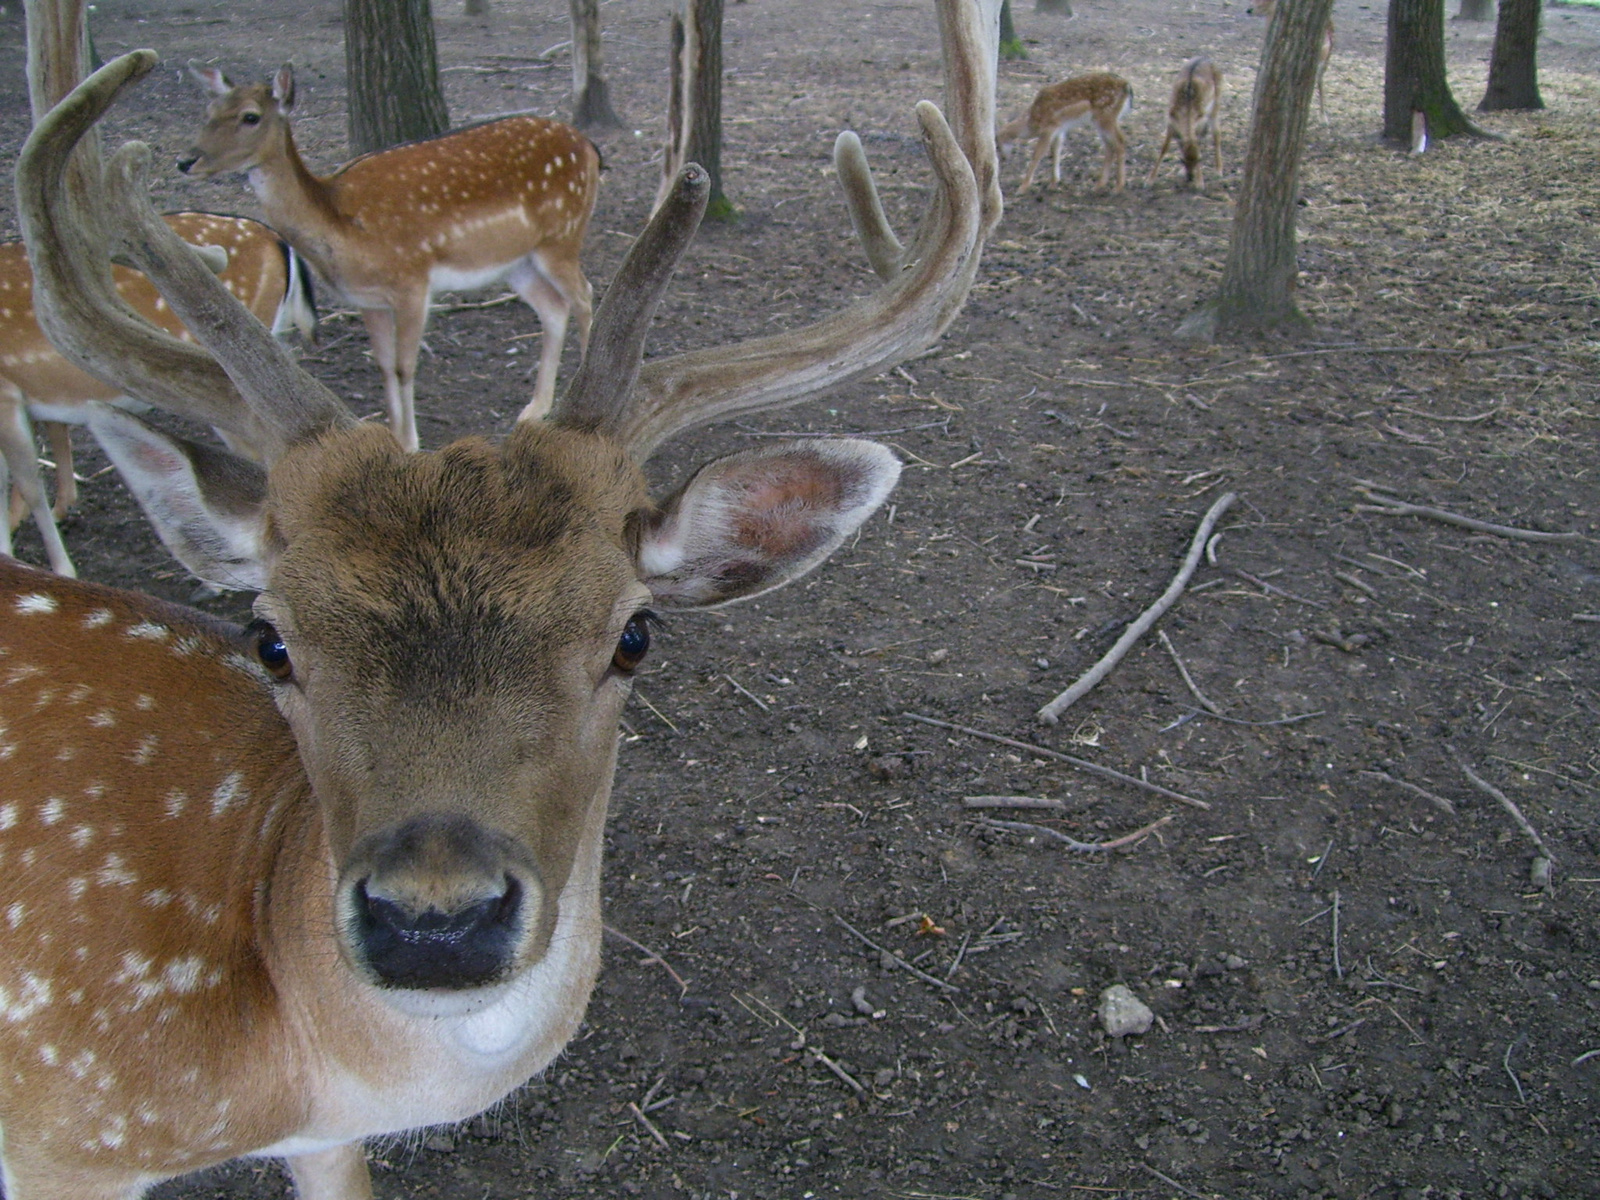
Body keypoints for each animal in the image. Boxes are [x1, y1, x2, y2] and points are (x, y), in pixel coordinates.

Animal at [176, 63, 601, 454]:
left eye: (250, 116)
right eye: (209, 110)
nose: (185, 160)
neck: (341, 224)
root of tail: (591, 149)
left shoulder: (412, 281)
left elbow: (403, 366)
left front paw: (411, 443)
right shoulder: (368, 299)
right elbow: (382, 365)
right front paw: (395, 439)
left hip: (562, 237)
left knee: (585, 296)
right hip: (517, 262)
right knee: (553, 308)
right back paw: (535, 407)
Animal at [992, 70, 1132, 193]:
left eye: (997, 146)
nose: (1003, 159)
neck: (1032, 120)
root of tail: (1126, 86)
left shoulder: (1048, 128)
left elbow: (1038, 154)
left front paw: (1022, 188)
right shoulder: (1059, 130)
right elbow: (1056, 152)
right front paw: (1054, 183)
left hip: (1106, 116)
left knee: (1120, 142)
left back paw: (1118, 187)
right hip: (1101, 120)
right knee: (1110, 146)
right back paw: (1099, 185)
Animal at [1145, 58, 1216, 188]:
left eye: (1198, 160)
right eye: (1182, 160)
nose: (1190, 177)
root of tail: (1204, 58)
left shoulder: (1200, 122)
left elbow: (1198, 143)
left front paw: (1200, 183)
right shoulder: (1171, 121)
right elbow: (1164, 148)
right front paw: (1149, 181)